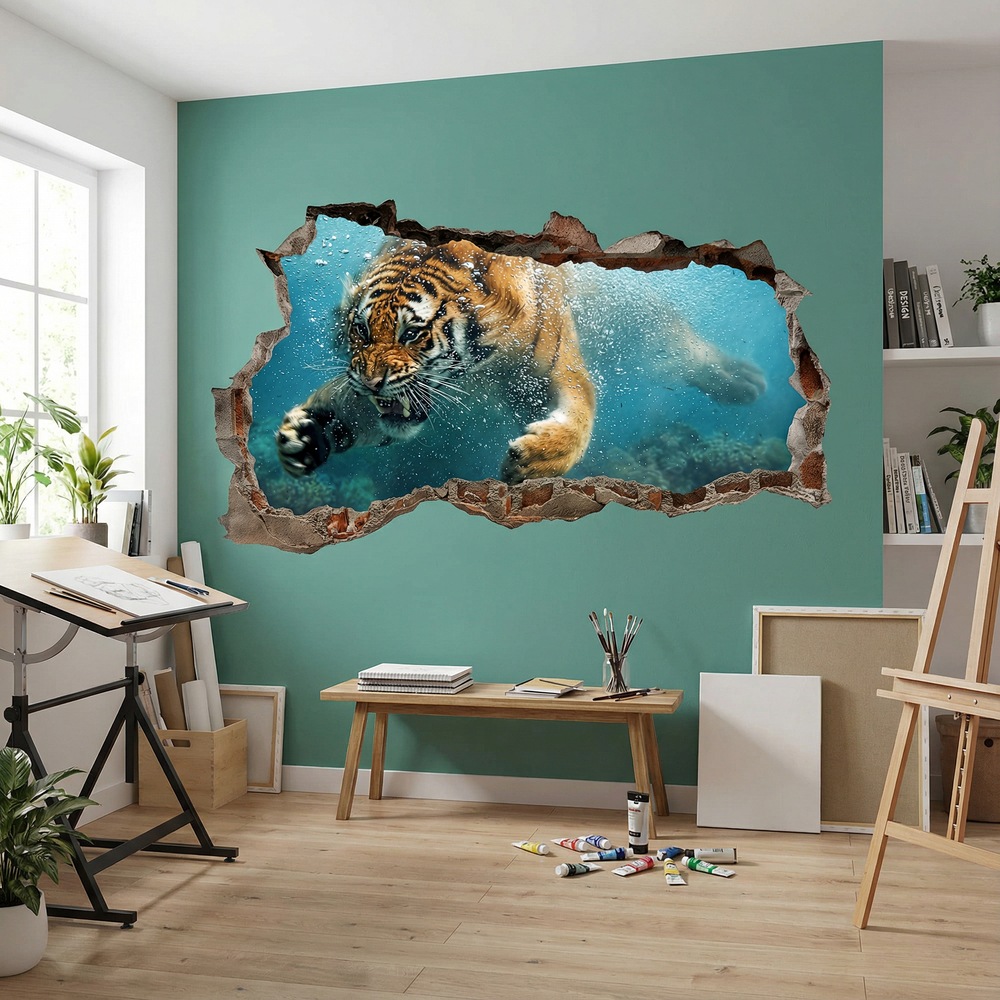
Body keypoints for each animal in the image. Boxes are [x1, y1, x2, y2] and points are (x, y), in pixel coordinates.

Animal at [274, 237, 767, 484]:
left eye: (411, 333)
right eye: (360, 330)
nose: (371, 382)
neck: (476, 372)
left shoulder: (556, 368)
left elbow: (581, 416)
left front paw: (537, 459)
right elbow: (359, 414)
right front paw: (305, 435)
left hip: (635, 311)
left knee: (682, 345)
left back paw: (746, 381)